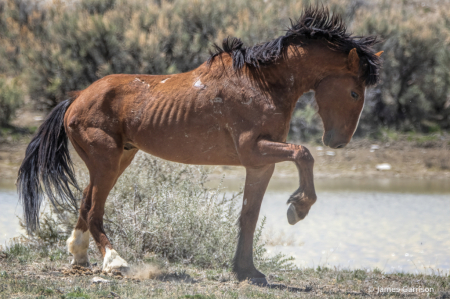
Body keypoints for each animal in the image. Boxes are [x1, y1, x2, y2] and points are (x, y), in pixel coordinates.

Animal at [18, 7, 384, 286]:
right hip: (106, 161)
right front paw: (299, 207)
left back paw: (79, 257)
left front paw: (247, 271)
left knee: (85, 201)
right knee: (95, 209)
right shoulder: (255, 149)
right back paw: (115, 261)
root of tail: (77, 97)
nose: (338, 141)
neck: (262, 84)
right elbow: (303, 154)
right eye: (354, 92)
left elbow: (248, 216)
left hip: (118, 159)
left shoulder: (260, 164)